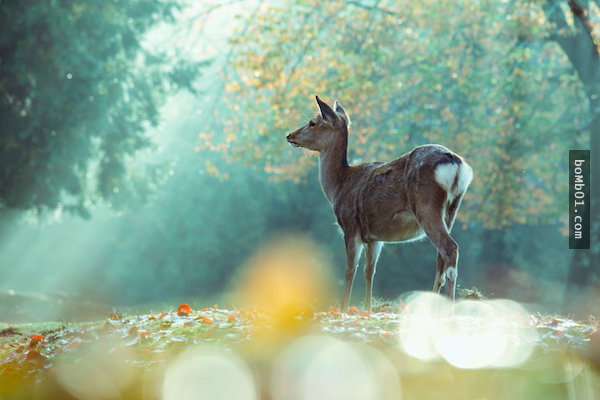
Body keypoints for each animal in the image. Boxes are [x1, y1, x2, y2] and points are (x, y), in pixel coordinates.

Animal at [286, 97, 474, 312]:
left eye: (312, 122)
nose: (290, 135)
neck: (339, 186)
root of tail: (457, 165)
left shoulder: (351, 226)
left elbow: (350, 270)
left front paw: (343, 310)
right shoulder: (375, 237)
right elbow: (370, 271)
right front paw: (367, 310)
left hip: (427, 206)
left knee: (450, 248)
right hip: (452, 209)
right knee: (441, 257)